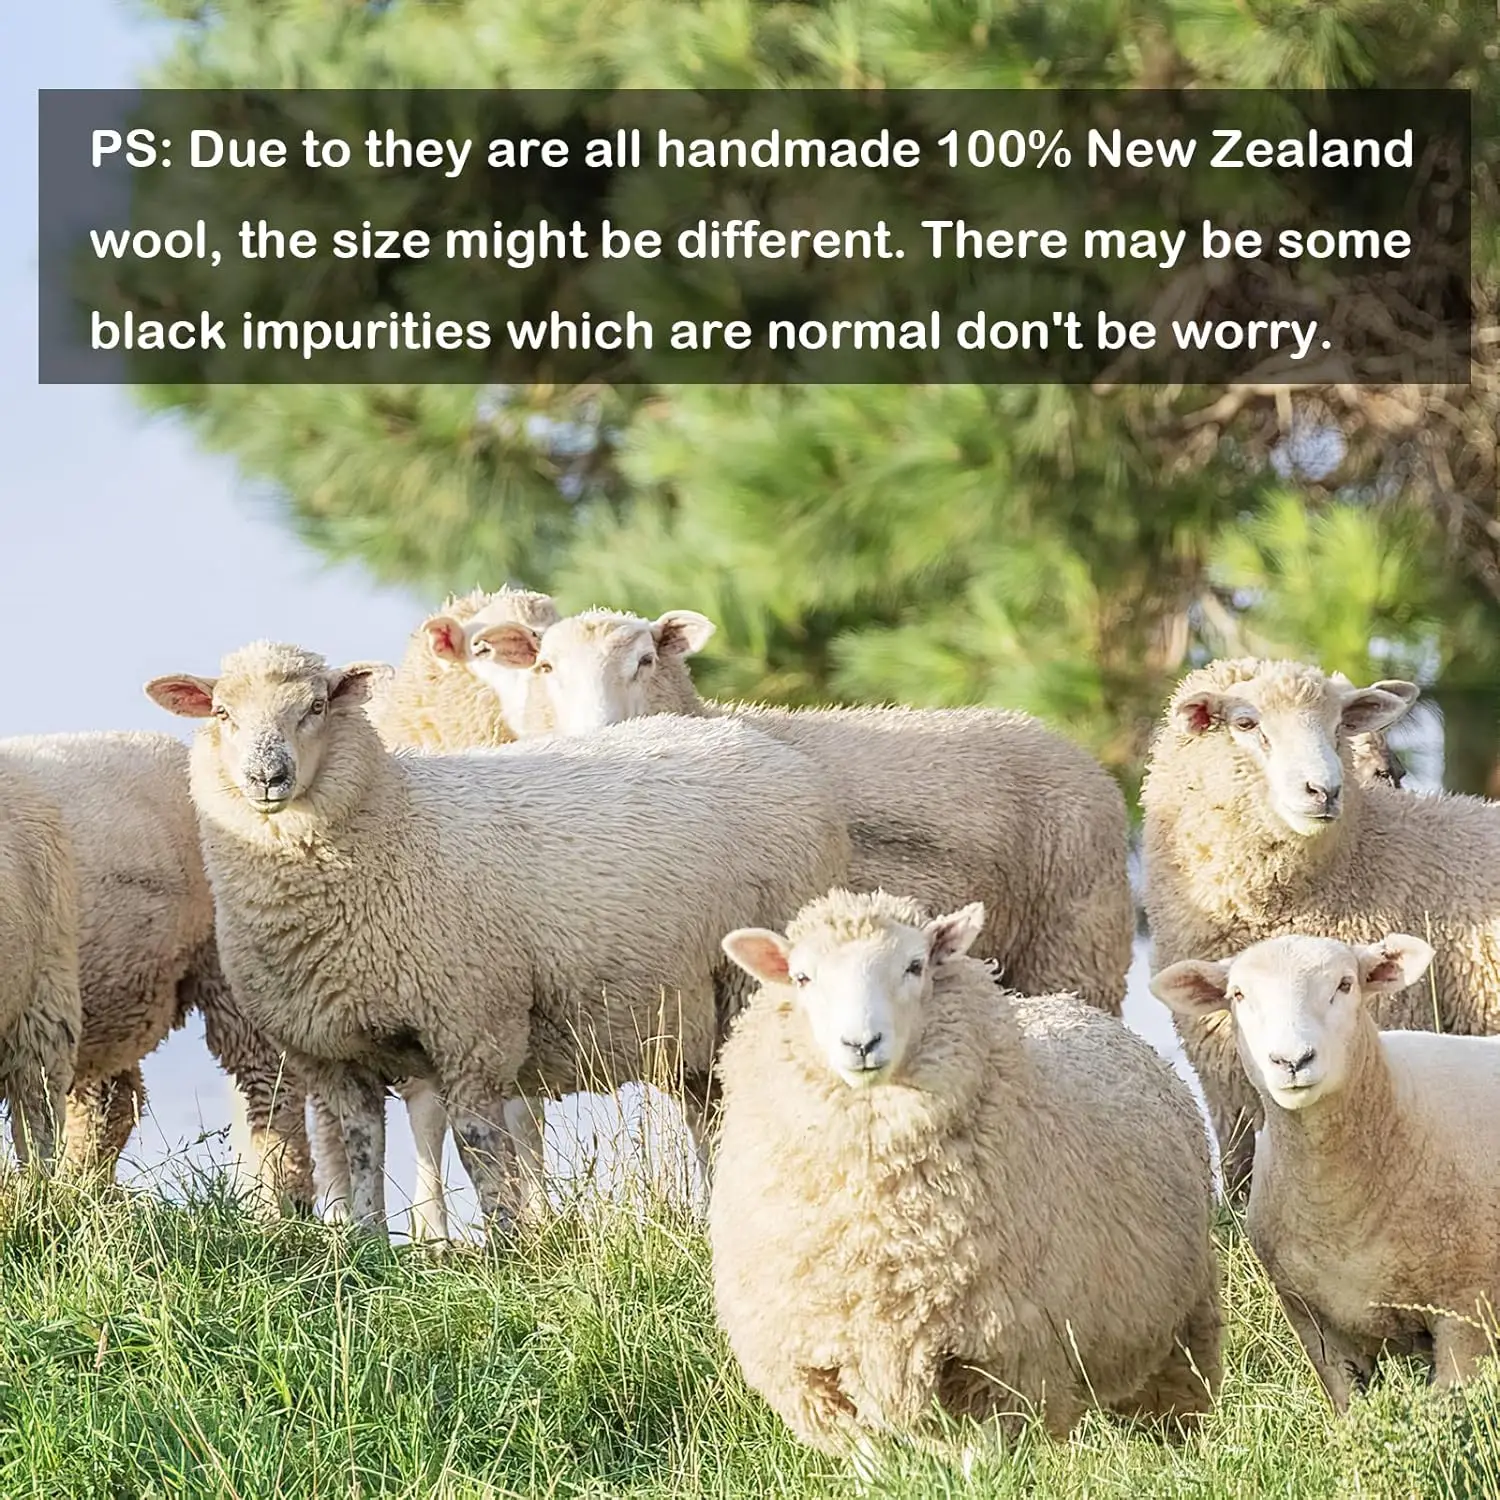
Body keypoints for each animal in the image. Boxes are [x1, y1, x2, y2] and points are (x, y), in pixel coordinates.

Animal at [0, 733, 314, 1207]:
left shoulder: (39, 1012)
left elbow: (35, 1122)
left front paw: (35, 1195)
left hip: (230, 967)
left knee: (269, 1084)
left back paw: (280, 1201)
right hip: (110, 997)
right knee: (113, 1101)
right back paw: (87, 1189)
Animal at [146, 640, 850, 1238]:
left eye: (317, 706)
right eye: (221, 712)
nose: (269, 777)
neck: (389, 822)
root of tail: (765, 746)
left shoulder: (473, 1025)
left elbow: (478, 1146)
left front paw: (506, 1243)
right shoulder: (336, 1048)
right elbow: (362, 1146)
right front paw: (367, 1245)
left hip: (747, 987)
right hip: (692, 1017)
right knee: (709, 1116)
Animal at [711, 888, 1220, 1455]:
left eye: (915, 966)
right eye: (802, 977)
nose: (860, 1044)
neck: (879, 1233)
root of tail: (1067, 1002)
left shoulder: (1003, 1360)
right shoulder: (815, 1374)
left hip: (1176, 1334)